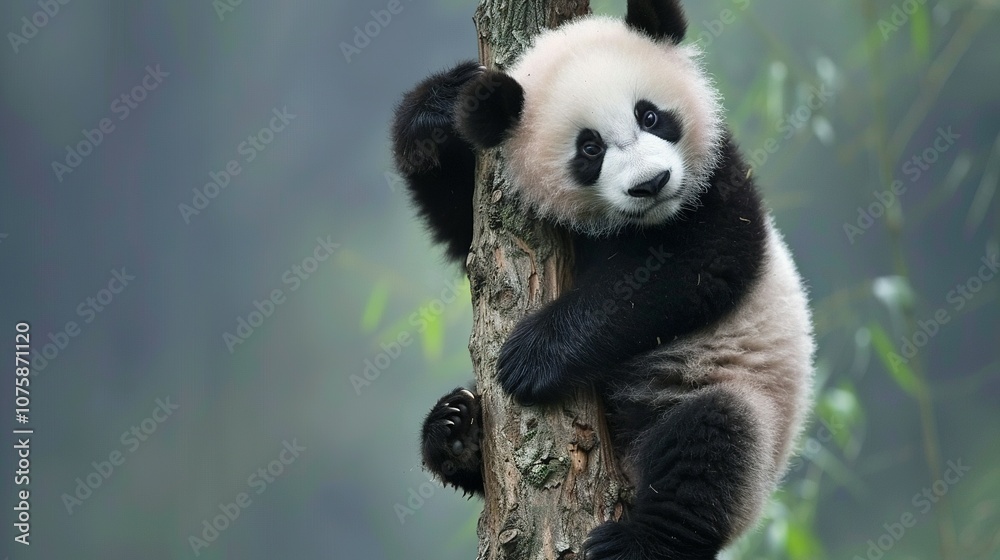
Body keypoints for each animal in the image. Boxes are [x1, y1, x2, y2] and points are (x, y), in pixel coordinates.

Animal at [391, 0, 815, 558]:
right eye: (589, 149)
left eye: (650, 115)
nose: (652, 183)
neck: (630, 223)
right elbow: (464, 230)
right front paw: (440, 106)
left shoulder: (715, 177)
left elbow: (699, 264)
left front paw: (533, 357)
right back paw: (456, 433)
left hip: (735, 397)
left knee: (709, 446)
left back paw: (639, 542)